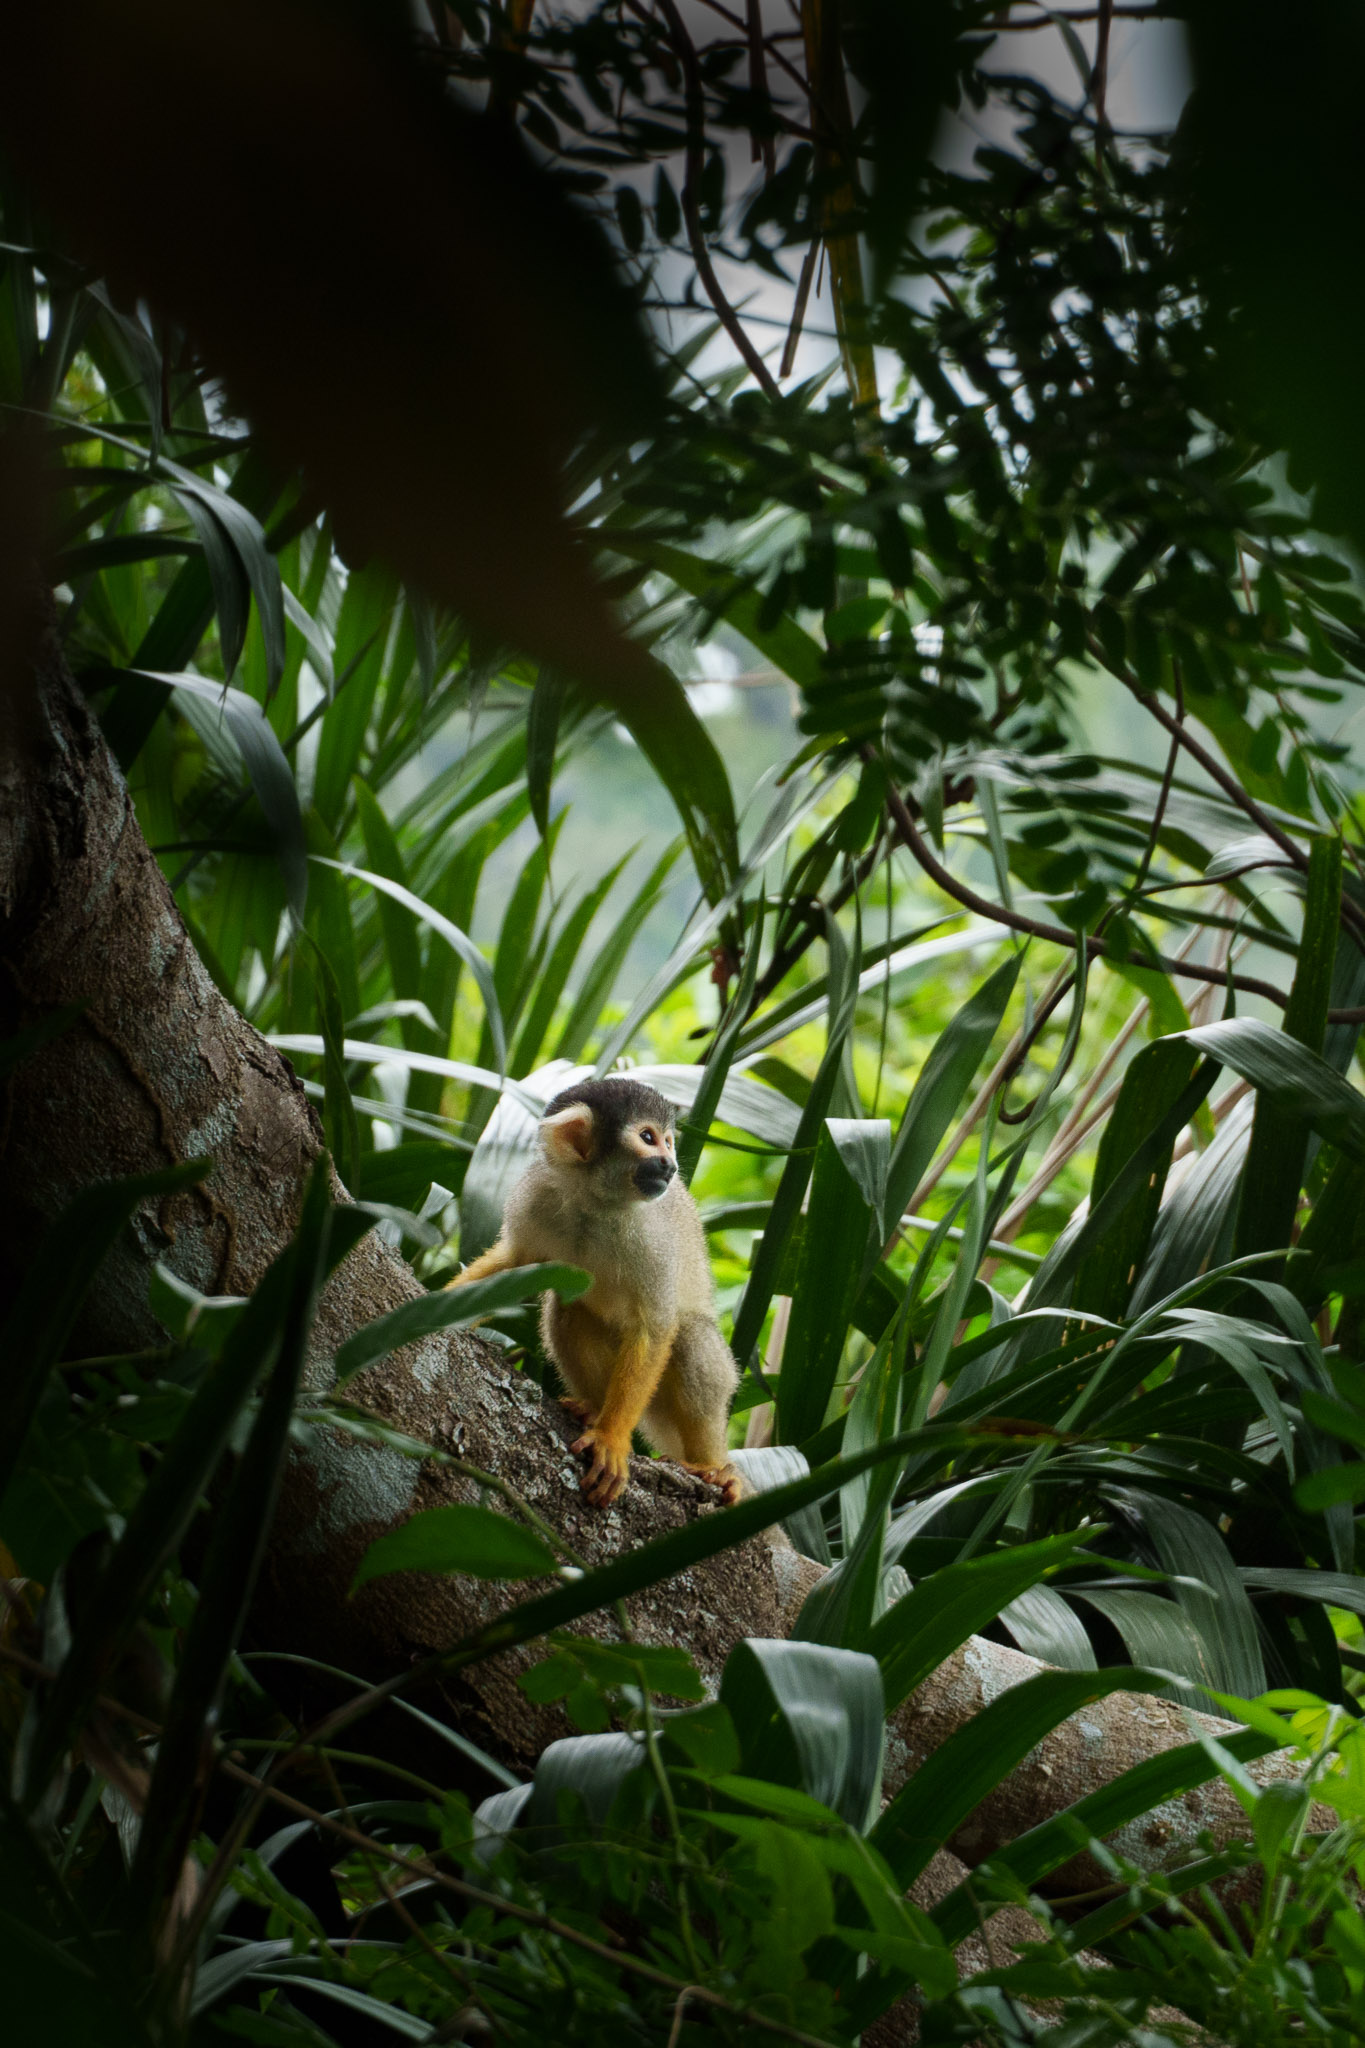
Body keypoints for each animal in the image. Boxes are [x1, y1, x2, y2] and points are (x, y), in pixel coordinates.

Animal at [447, 1076, 741, 1508]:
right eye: (649, 1138)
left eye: (669, 1142)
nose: (670, 1166)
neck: (595, 1202)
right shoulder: (535, 1196)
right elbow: (514, 1263)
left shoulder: (651, 1235)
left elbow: (655, 1325)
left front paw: (611, 1439)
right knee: (567, 1309)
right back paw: (591, 1408)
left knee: (689, 1336)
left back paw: (711, 1466)